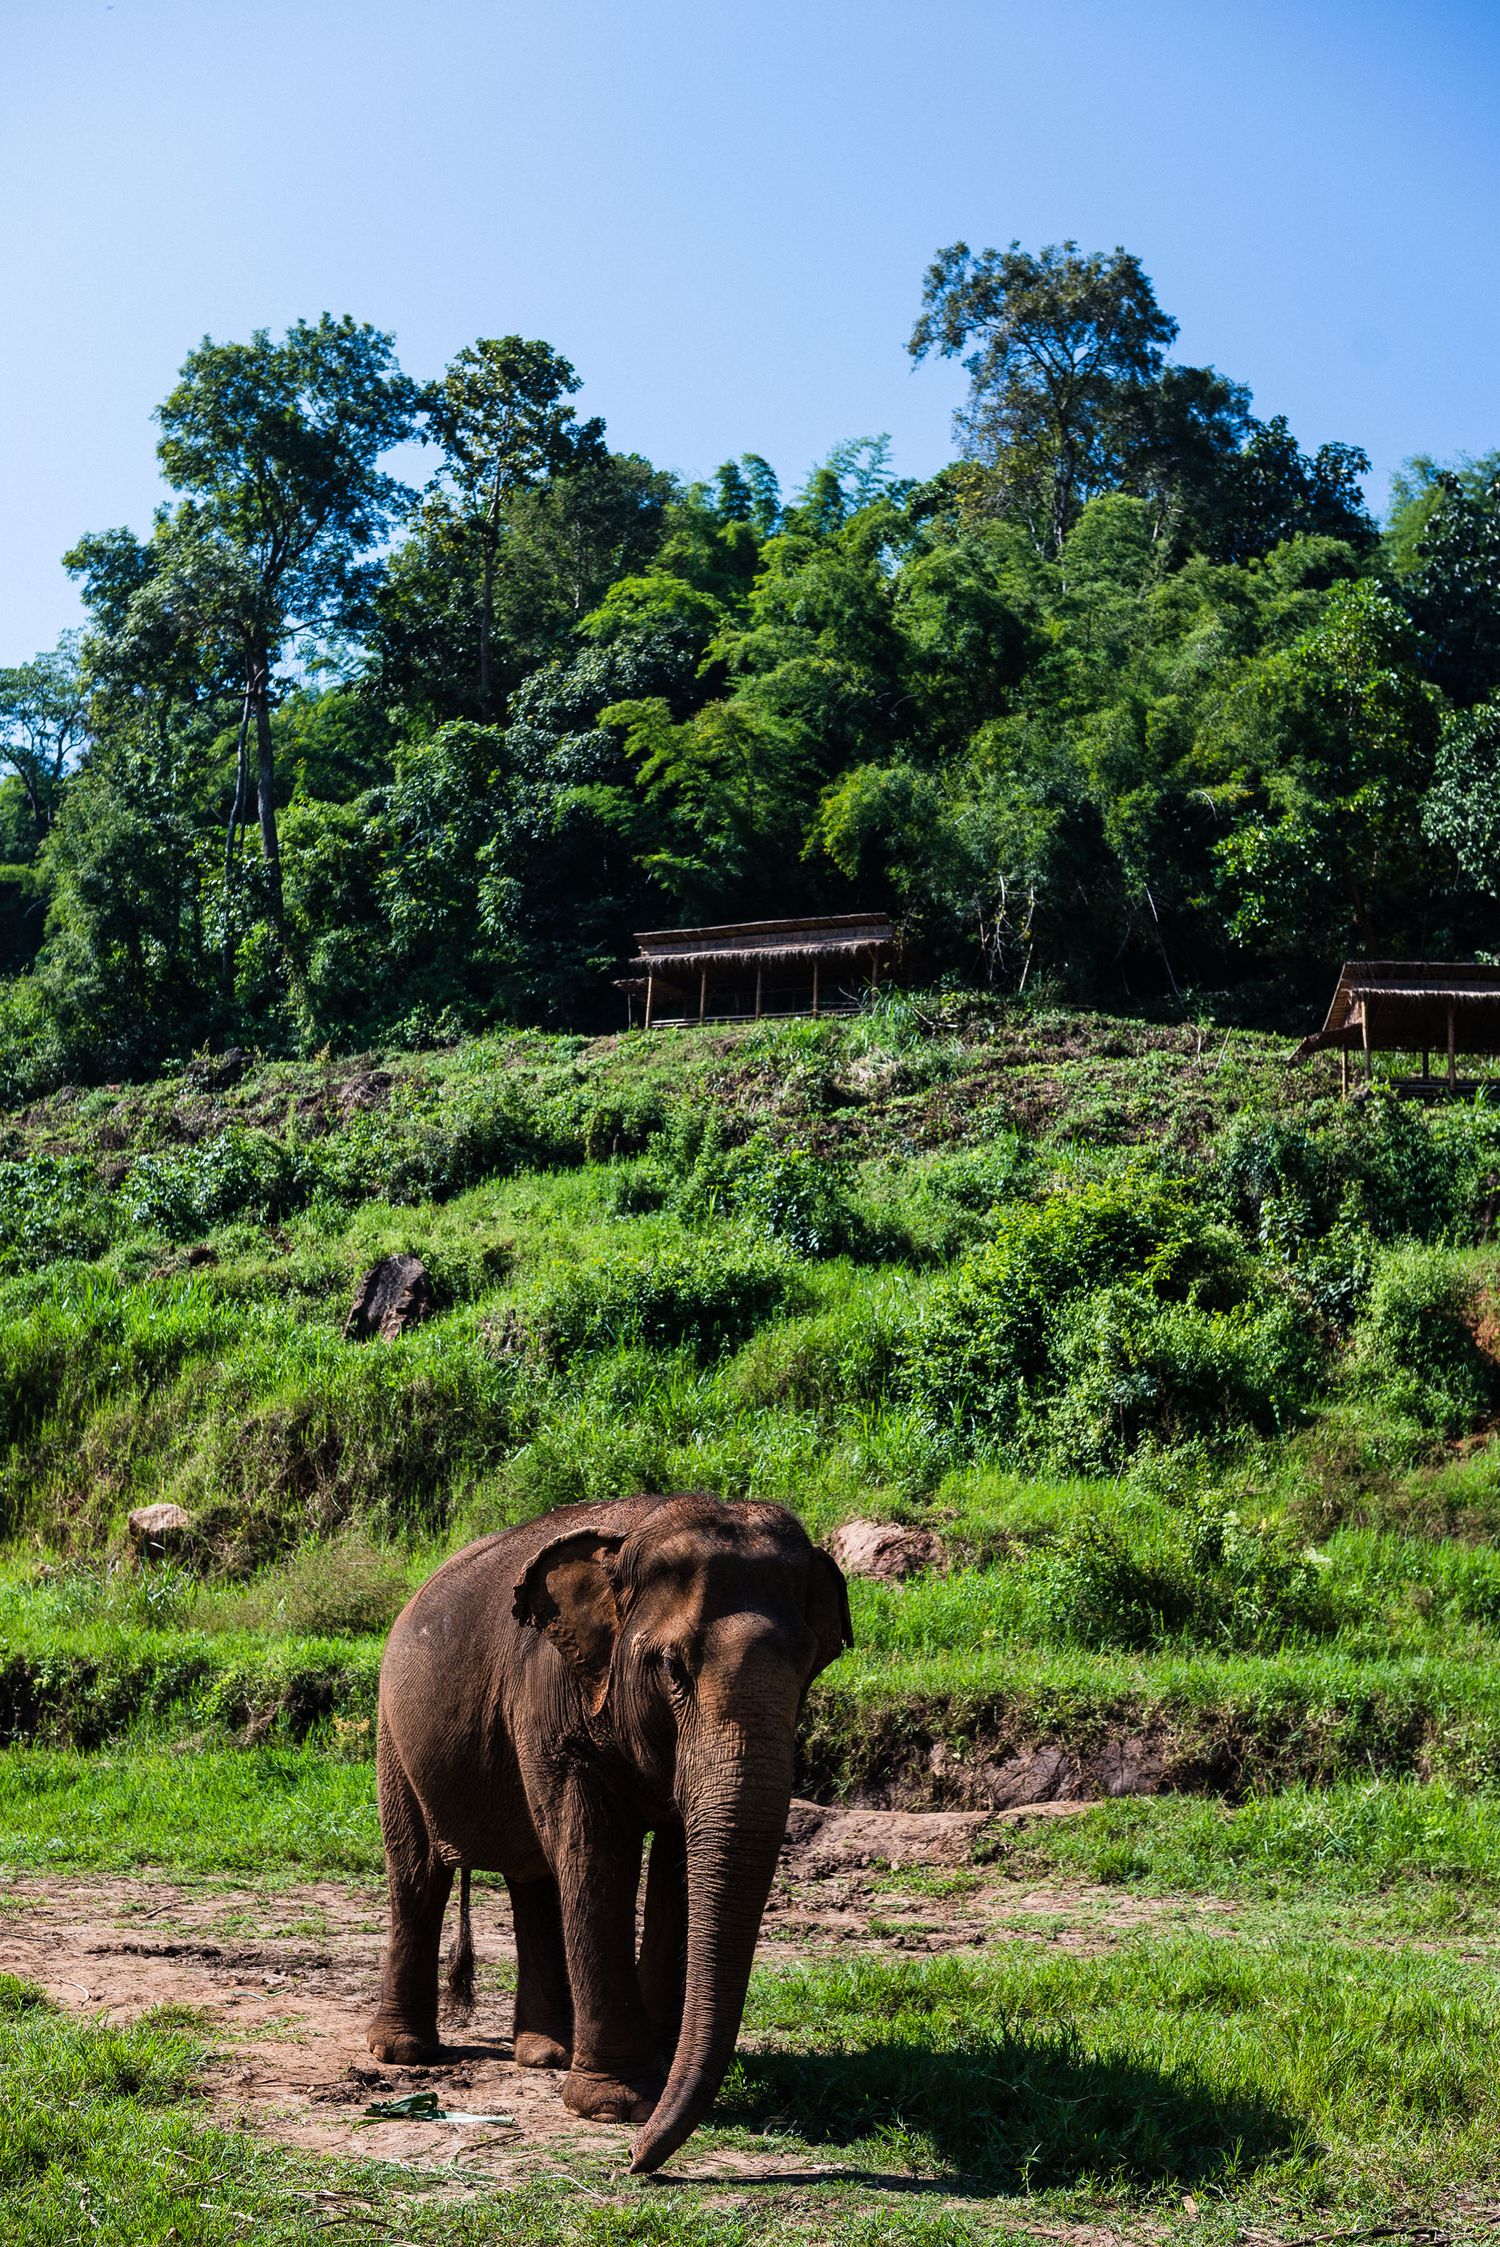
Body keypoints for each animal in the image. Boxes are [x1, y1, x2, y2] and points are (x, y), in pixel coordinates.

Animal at [367, 1491, 852, 2174]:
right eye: (672, 1667)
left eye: (810, 1666)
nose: (635, 2161)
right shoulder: (551, 1693)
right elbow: (597, 1854)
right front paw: (613, 2106)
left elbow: (679, 1862)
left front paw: (652, 2068)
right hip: (393, 1733)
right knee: (418, 1873)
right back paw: (404, 2054)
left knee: (532, 1878)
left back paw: (545, 2053)